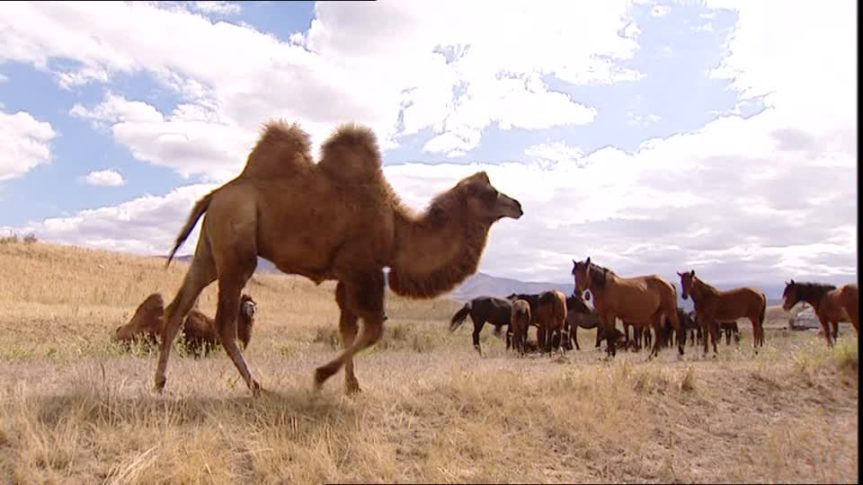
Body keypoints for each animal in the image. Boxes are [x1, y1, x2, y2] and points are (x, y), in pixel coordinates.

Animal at [159, 120, 524, 394]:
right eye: (492, 193)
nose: (518, 205)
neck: (397, 231)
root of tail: (215, 195)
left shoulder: (347, 277)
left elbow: (348, 328)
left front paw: (352, 385)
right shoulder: (362, 269)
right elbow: (374, 329)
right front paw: (321, 376)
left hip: (210, 251)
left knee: (179, 307)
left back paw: (160, 383)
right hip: (237, 252)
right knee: (224, 321)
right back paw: (258, 387)